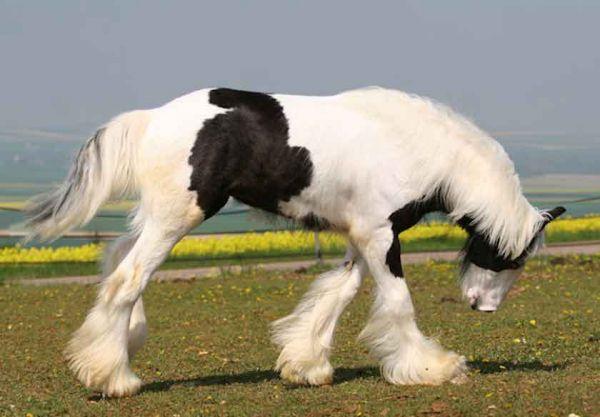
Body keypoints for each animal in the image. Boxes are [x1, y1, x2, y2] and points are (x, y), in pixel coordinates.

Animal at [24, 85, 568, 396]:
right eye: (513, 258)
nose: (484, 307)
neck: (416, 147)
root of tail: (152, 117)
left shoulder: (362, 236)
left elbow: (339, 292)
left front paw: (305, 365)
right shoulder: (379, 236)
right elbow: (397, 302)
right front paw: (433, 367)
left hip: (157, 217)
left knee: (117, 261)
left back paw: (119, 349)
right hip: (178, 217)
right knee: (128, 278)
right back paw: (114, 378)